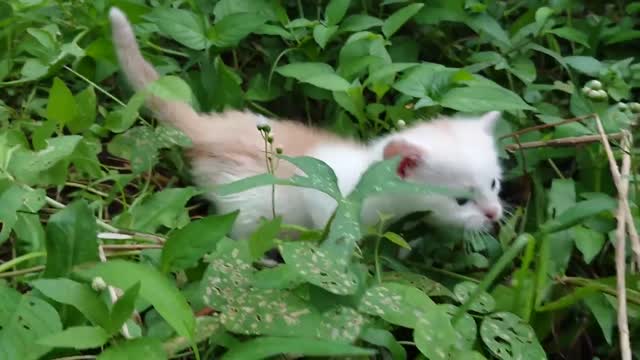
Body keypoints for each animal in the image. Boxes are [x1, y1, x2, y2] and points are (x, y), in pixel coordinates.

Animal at [107, 7, 502, 239]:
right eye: (461, 200)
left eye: (495, 184)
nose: (496, 214)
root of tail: (210, 129)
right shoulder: (328, 202)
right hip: (245, 208)